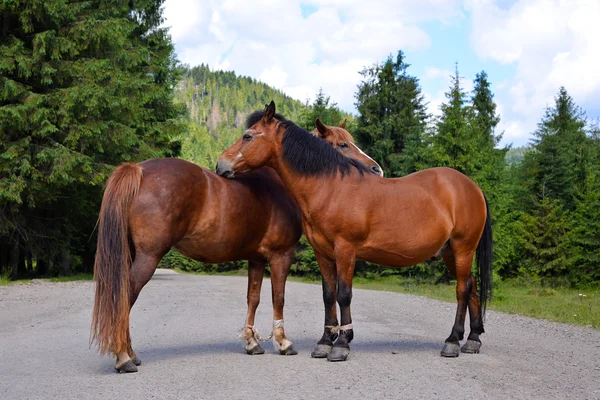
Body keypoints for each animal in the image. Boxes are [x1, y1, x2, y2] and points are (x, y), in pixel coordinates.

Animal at [90, 108, 380, 372]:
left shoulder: (256, 259)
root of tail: (138, 169)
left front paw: (252, 343)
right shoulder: (281, 256)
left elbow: (254, 298)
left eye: (248, 136)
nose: (376, 169)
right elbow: (278, 297)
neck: (281, 187)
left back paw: (130, 353)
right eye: (342, 144)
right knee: (126, 296)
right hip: (149, 257)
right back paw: (124, 357)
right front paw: (283, 342)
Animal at [216, 102, 492, 362]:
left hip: (463, 248)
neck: (331, 188)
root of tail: (471, 186)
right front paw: (324, 342)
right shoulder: (323, 254)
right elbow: (328, 295)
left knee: (462, 290)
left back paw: (453, 341)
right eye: (343, 144)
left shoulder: (345, 251)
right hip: (450, 253)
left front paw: (341, 344)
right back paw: (473, 339)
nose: (220, 164)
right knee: (472, 286)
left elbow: (344, 295)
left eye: (248, 136)